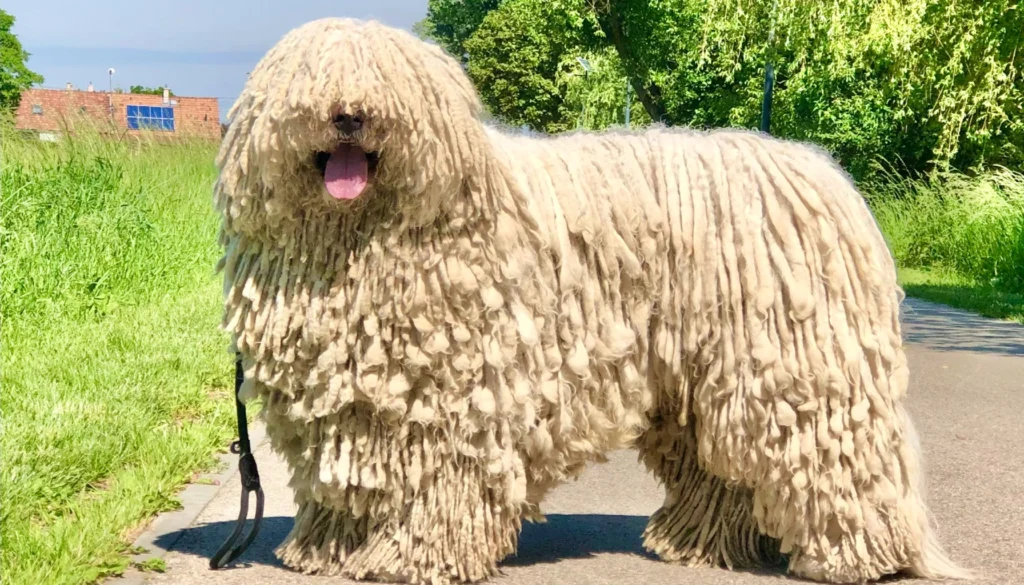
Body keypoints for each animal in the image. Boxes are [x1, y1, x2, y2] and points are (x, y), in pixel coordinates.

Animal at [214, 16, 966, 585]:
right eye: (313, 76)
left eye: (386, 78)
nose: (349, 114)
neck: (362, 236)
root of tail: (824, 174)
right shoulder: (349, 397)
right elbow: (343, 467)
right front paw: (327, 547)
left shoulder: (453, 393)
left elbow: (438, 479)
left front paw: (413, 556)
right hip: (699, 381)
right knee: (721, 466)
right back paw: (697, 542)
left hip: (792, 364)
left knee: (837, 456)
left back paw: (862, 557)